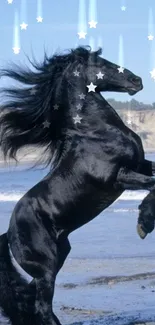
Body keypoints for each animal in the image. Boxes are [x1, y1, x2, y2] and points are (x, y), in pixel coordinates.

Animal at [0, 46, 155, 324]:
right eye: (100, 63)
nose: (137, 80)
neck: (95, 132)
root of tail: (9, 233)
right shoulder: (120, 177)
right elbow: (154, 187)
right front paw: (144, 224)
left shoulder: (141, 165)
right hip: (46, 265)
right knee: (41, 305)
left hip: (59, 255)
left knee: (32, 298)